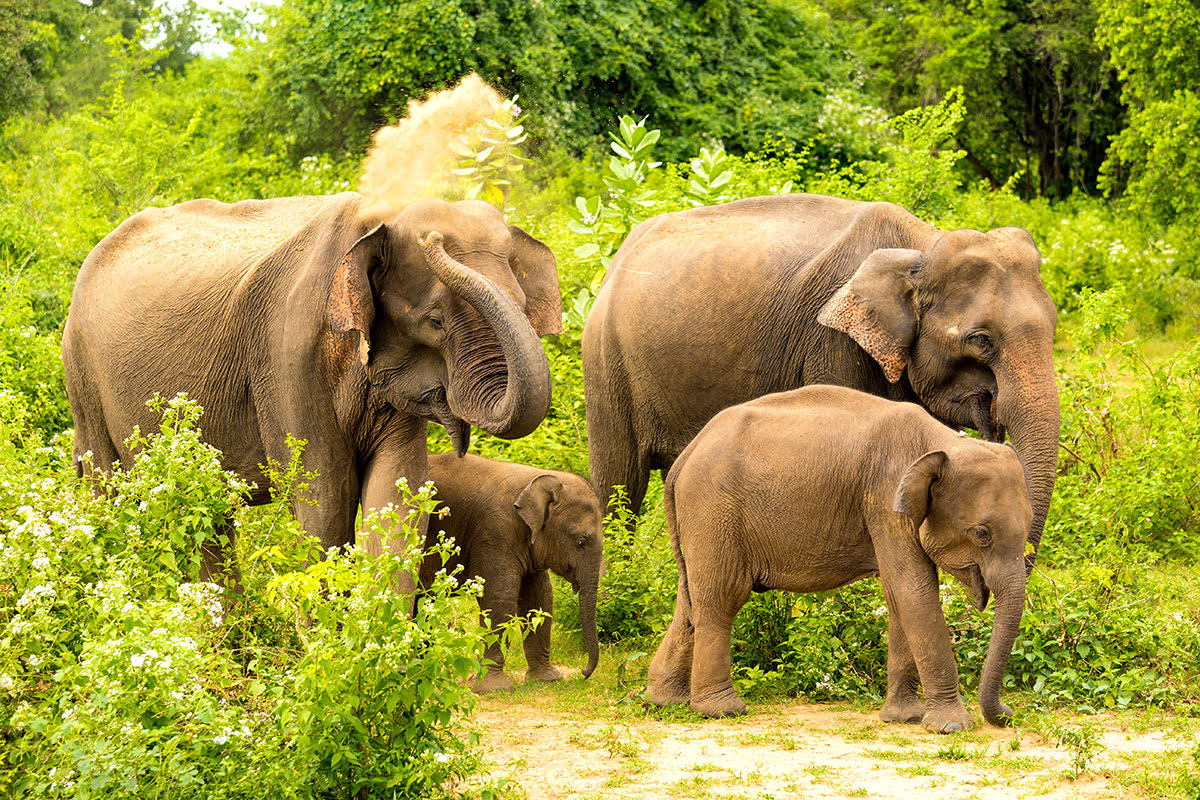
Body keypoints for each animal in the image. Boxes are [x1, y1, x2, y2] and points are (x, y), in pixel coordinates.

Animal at [60, 194, 556, 582]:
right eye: (434, 321)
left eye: (523, 304)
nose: (433, 241)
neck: (375, 220)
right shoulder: (286, 356)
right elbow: (324, 501)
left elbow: (397, 500)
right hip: (82, 378)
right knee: (107, 492)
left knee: (205, 512)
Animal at [427, 453, 604, 690]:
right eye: (581, 542)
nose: (583, 673)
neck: (535, 480)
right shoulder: (495, 531)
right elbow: (500, 597)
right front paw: (494, 688)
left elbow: (539, 597)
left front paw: (547, 679)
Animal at [583, 193, 1060, 568]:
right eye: (980, 340)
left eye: (1055, 327)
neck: (922, 243)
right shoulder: (831, 341)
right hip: (606, 363)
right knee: (621, 486)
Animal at [648, 386, 1032, 734]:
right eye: (982, 534)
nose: (1007, 714)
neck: (942, 441)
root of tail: (685, 457)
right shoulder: (884, 497)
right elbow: (914, 590)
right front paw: (951, 727)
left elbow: (899, 596)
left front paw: (903, 718)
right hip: (713, 510)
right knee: (721, 597)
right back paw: (722, 710)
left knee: (689, 602)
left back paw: (664, 700)